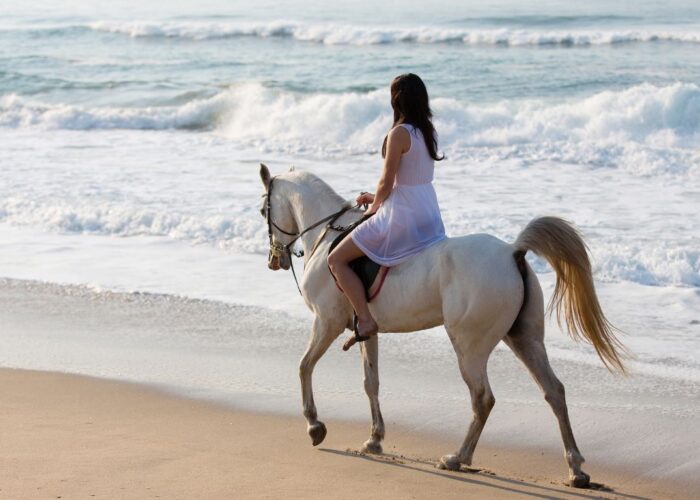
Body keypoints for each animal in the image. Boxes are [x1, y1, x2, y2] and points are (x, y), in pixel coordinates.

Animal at [258, 164, 624, 488]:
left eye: (263, 209)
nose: (274, 261)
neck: (327, 236)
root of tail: (512, 252)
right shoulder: (366, 331)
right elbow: (370, 382)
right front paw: (374, 439)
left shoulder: (327, 322)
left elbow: (304, 366)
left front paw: (314, 425)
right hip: (524, 339)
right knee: (554, 391)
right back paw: (576, 470)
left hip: (469, 346)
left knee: (483, 398)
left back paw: (457, 458)